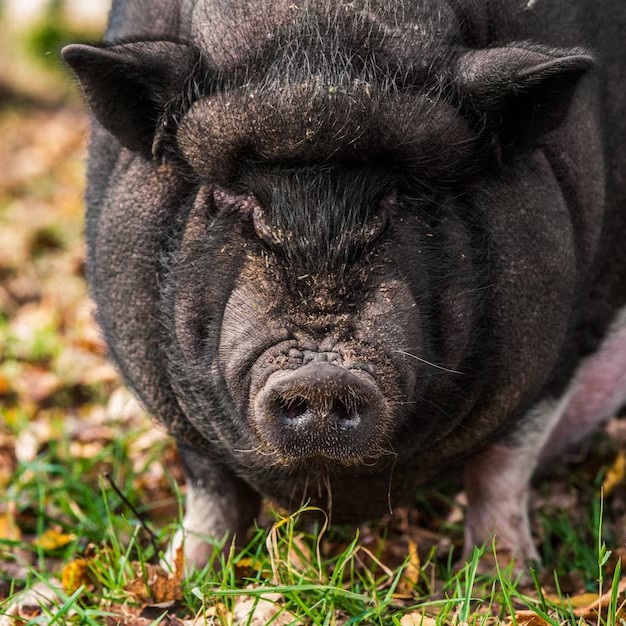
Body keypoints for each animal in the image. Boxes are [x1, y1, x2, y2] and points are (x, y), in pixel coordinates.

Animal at [59, 0, 624, 568]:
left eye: (403, 195)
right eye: (236, 196)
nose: (321, 376)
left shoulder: (570, 331)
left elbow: (502, 467)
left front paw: (504, 575)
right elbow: (212, 486)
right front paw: (187, 573)